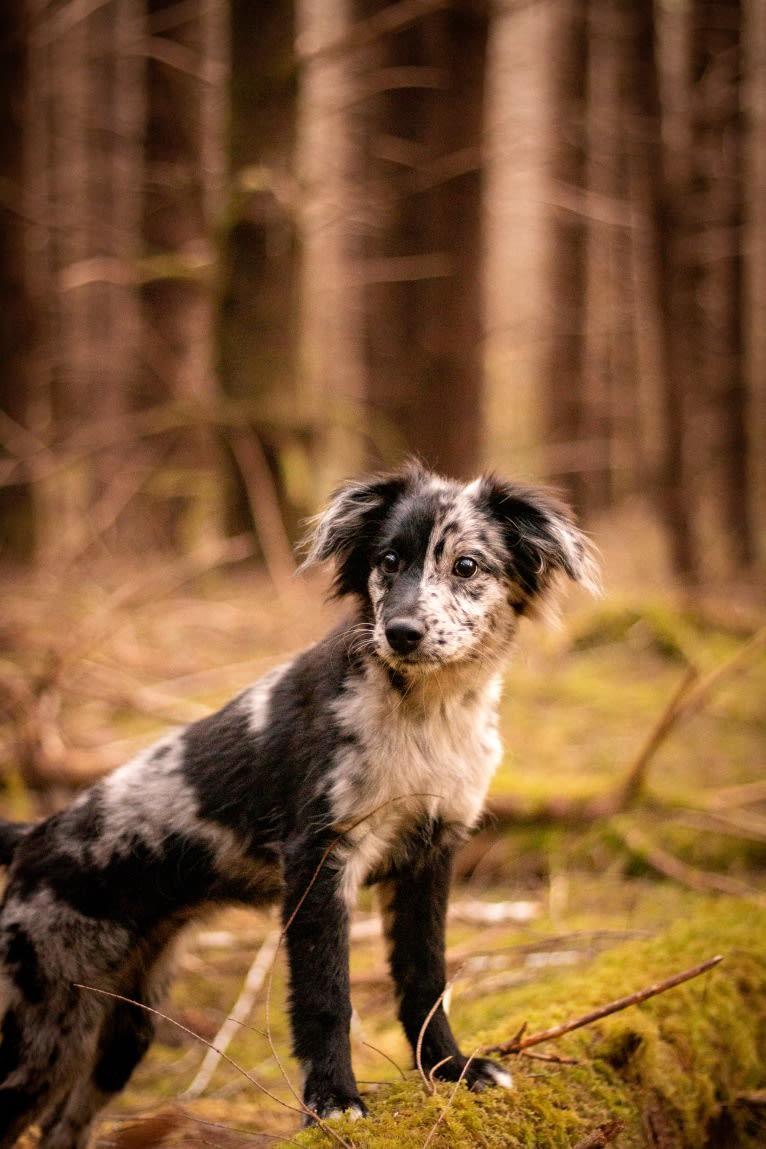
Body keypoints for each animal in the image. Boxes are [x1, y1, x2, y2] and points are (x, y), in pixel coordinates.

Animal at [0, 459, 597, 1149]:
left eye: (467, 566)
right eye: (388, 560)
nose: (401, 633)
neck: (426, 715)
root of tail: (32, 839)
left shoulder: (432, 851)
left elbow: (425, 978)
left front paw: (453, 1071)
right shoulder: (319, 858)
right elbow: (325, 994)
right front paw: (333, 1102)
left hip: (123, 1025)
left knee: (64, 1125)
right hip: (43, 1023)